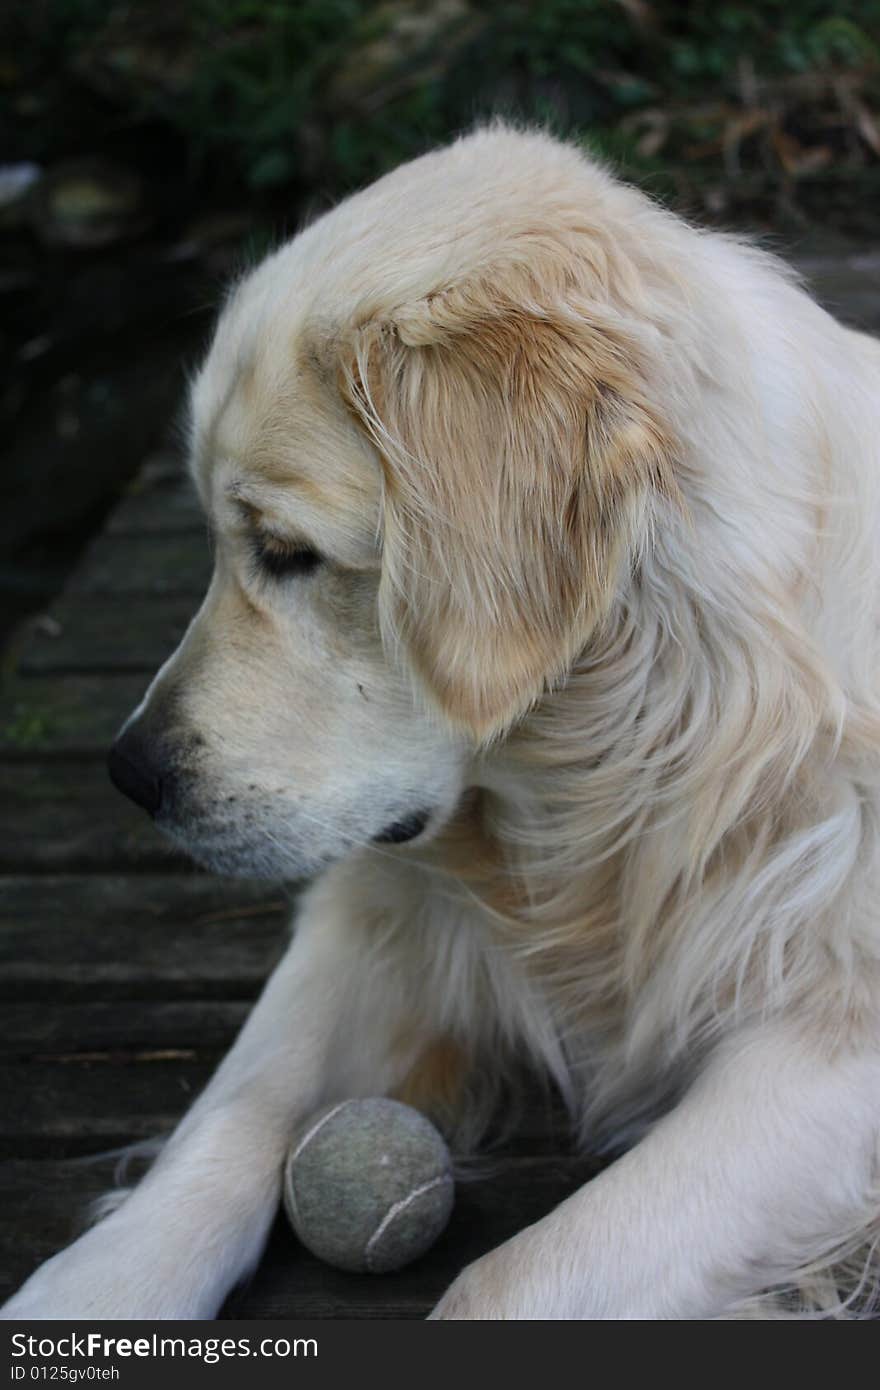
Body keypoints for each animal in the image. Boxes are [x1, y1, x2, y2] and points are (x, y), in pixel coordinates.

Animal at [3, 127, 873, 1312]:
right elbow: (233, 1106)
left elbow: (506, 1278)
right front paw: (97, 1285)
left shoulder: (833, 1042)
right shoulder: (371, 908)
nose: (130, 774)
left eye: (287, 551)